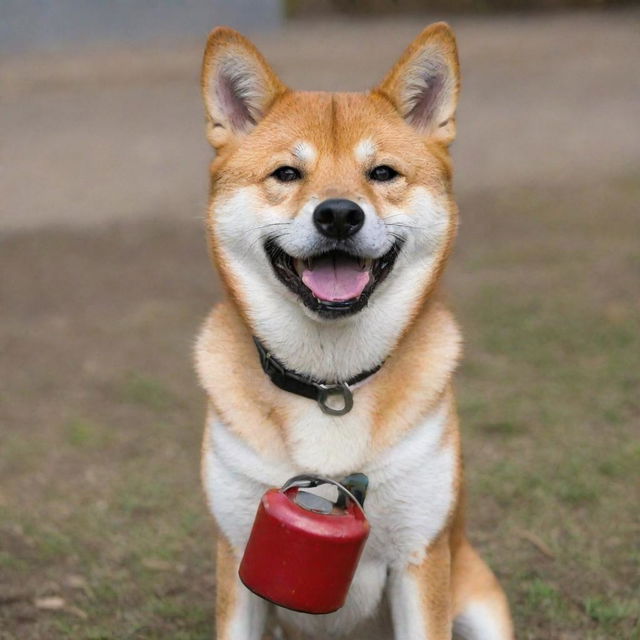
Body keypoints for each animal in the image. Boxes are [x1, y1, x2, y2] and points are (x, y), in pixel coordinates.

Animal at [195, 21, 516, 640]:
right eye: (287, 173)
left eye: (383, 173)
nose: (339, 214)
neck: (330, 384)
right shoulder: (237, 554)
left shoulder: (419, 558)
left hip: (479, 599)